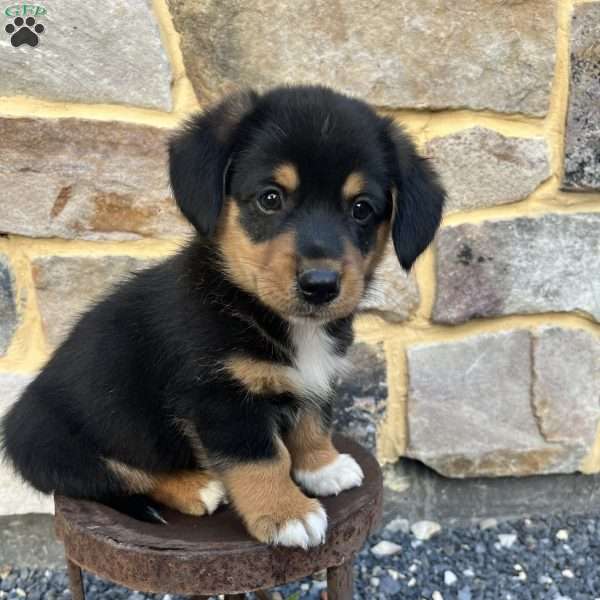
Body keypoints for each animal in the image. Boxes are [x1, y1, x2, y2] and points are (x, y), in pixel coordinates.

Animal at [1, 84, 446, 548]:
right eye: (270, 198)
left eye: (361, 208)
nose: (321, 285)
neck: (260, 309)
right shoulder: (221, 398)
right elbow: (261, 458)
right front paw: (287, 513)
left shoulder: (316, 377)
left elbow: (312, 421)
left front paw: (323, 467)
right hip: (57, 445)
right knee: (120, 474)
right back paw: (197, 486)